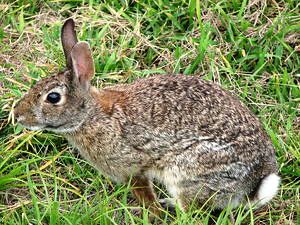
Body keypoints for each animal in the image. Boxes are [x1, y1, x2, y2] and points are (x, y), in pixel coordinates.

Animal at [14, 18, 282, 215]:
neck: (92, 116)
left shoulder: (132, 167)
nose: (17, 115)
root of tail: (254, 184)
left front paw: (151, 212)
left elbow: (143, 192)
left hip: (188, 171)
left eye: (52, 98)